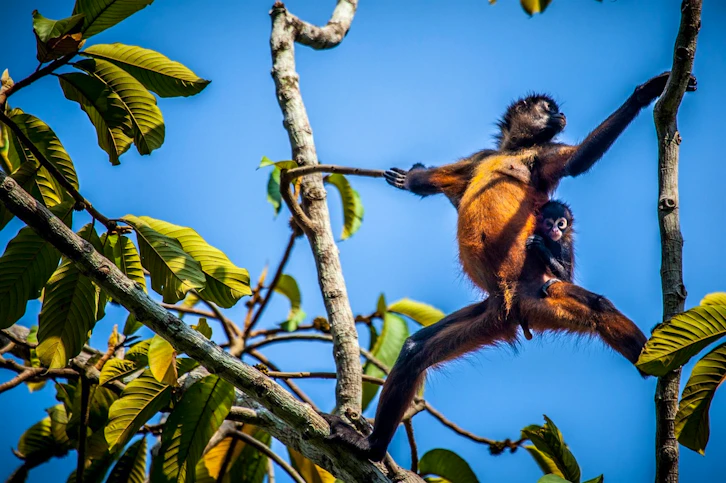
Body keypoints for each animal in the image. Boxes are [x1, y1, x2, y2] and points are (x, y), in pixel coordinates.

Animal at [323, 72, 696, 462]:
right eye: (549, 108)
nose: (562, 116)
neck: (513, 151)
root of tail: (513, 307)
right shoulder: (483, 156)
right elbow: (448, 183)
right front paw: (412, 178)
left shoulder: (542, 155)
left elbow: (576, 161)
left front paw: (647, 92)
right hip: (490, 315)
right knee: (414, 351)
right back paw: (373, 446)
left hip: (539, 291)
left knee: (598, 308)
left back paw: (653, 362)